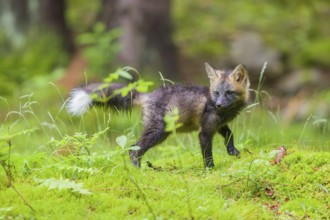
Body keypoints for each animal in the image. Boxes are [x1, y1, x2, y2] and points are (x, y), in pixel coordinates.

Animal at [67, 63, 249, 168]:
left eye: (228, 92)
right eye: (217, 93)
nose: (218, 104)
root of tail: (148, 95)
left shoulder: (218, 125)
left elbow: (230, 134)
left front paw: (232, 150)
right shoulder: (204, 132)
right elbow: (208, 155)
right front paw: (210, 170)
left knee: (134, 148)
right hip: (158, 132)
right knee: (134, 149)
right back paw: (138, 170)